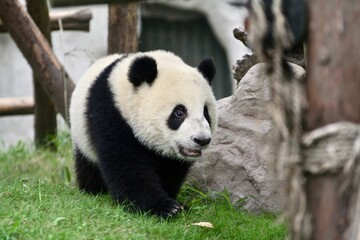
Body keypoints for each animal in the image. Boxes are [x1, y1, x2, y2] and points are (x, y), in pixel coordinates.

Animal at [70, 49, 217, 218]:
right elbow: (127, 165)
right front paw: (164, 207)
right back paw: (93, 190)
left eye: (205, 112)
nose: (202, 140)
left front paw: (176, 203)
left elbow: (171, 171)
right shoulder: (111, 113)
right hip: (82, 137)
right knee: (88, 166)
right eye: (179, 112)